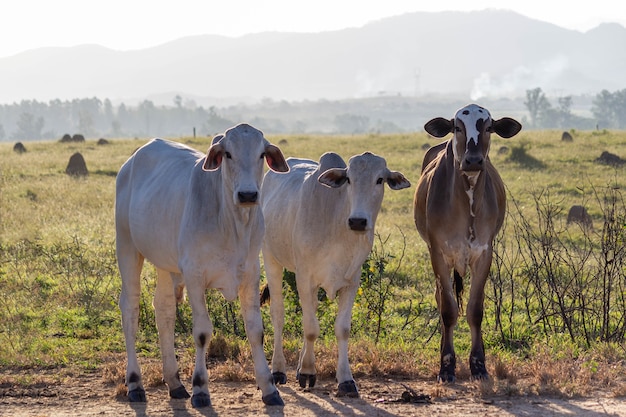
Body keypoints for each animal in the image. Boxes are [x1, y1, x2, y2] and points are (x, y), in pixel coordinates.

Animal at [115, 122, 288, 406]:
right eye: (228, 154)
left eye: (262, 154)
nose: (248, 194)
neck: (232, 223)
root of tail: (133, 159)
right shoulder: (194, 276)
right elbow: (202, 332)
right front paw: (200, 388)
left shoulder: (250, 274)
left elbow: (255, 331)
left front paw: (269, 388)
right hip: (127, 247)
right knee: (130, 309)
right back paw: (135, 383)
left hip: (165, 264)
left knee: (164, 310)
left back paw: (174, 382)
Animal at [258, 151, 410, 394]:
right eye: (348, 179)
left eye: (380, 179)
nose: (358, 221)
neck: (337, 227)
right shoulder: (305, 279)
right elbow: (311, 328)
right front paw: (308, 372)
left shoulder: (351, 282)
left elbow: (342, 329)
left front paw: (346, 379)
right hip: (271, 259)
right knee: (278, 314)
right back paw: (279, 369)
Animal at [412, 103, 520, 380]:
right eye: (457, 128)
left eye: (489, 127)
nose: (473, 160)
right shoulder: (437, 253)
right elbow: (448, 310)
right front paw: (446, 365)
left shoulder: (484, 254)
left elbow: (475, 310)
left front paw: (478, 364)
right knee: (441, 298)